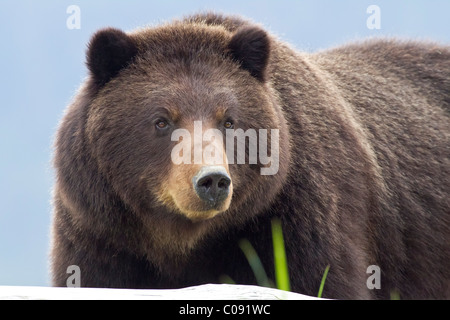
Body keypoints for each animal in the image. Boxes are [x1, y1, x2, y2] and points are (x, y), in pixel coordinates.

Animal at [50, 11, 450, 298]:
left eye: (228, 120)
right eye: (162, 120)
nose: (211, 180)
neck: (182, 240)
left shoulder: (297, 220)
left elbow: (324, 278)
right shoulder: (101, 233)